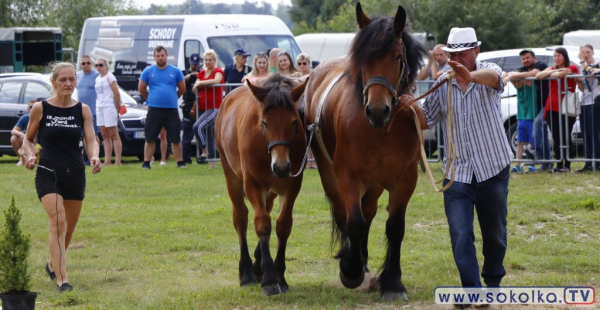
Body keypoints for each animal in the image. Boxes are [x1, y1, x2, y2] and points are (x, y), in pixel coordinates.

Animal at [216, 73, 308, 296]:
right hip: (232, 176)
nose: (281, 167)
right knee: (241, 217)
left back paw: (257, 267)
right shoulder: (253, 184)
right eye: (264, 123)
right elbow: (262, 223)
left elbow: (283, 225)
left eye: (294, 122)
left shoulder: (292, 185)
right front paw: (269, 279)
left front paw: (279, 275)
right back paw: (247, 273)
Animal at [304, 2, 426, 302]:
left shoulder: (405, 179)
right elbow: (355, 223)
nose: (377, 110)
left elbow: (394, 227)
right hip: (331, 175)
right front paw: (351, 270)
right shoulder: (347, 177)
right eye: (362, 59)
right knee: (346, 215)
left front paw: (392, 282)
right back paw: (355, 261)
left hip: (374, 184)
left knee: (368, 211)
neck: (380, 131)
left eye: (397, 57)